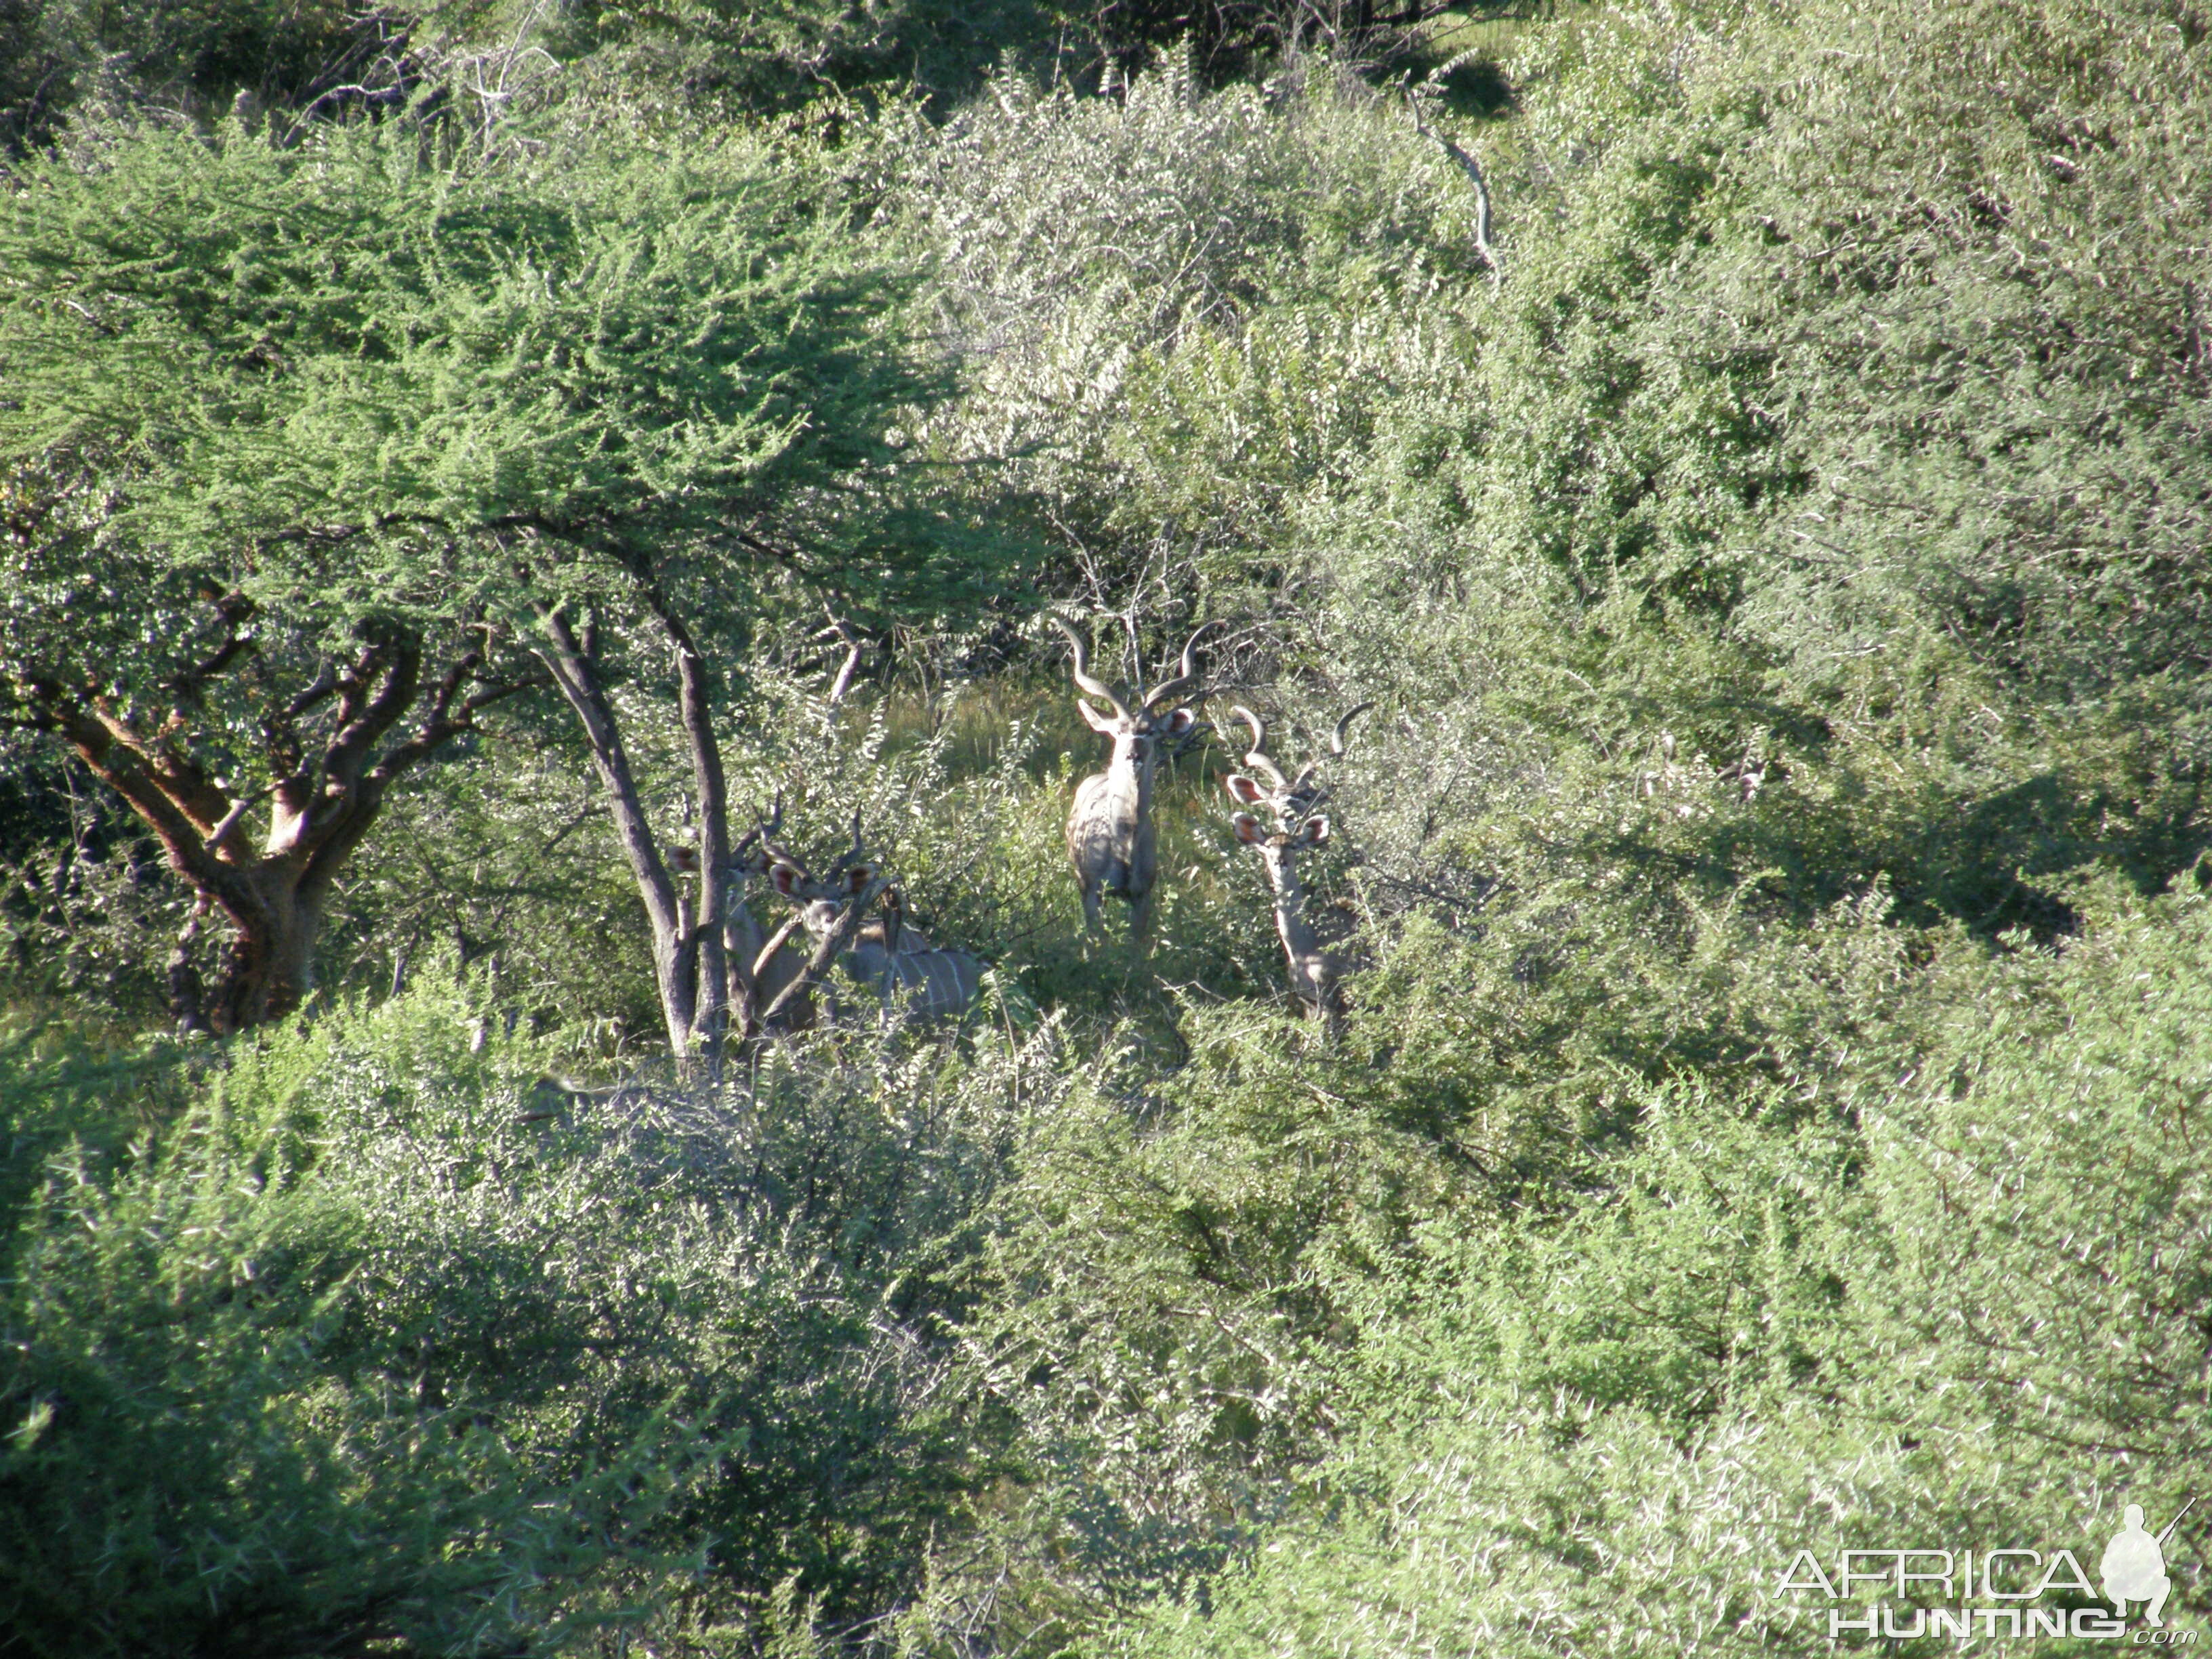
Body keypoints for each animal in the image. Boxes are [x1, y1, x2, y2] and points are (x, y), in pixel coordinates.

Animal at [1048, 619, 1212, 942]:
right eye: (1118, 731)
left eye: (1150, 732)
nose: (1133, 755)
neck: (1123, 844)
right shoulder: (1093, 892)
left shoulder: (1141, 895)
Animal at [1221, 703, 1371, 1040]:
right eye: (1267, 848)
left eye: (1294, 847)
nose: (1280, 861)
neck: (1306, 947)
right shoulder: (1310, 1002)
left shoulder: (1334, 998)